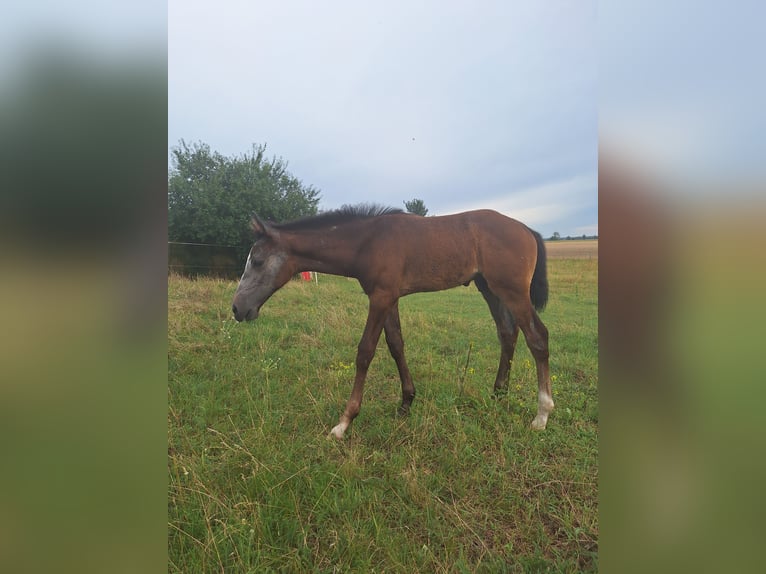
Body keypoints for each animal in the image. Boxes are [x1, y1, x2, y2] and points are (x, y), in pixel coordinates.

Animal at [231, 205, 556, 438]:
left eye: (257, 261)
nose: (237, 308)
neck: (367, 242)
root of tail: (527, 229)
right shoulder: (388, 297)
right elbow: (396, 344)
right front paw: (406, 402)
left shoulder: (380, 297)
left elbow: (365, 351)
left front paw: (344, 422)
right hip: (489, 288)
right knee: (507, 333)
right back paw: (498, 393)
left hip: (513, 291)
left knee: (537, 337)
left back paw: (541, 414)